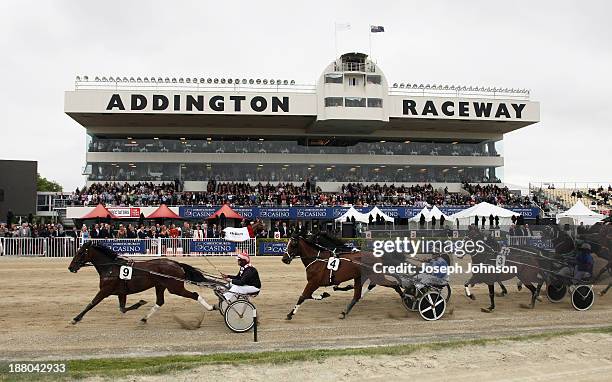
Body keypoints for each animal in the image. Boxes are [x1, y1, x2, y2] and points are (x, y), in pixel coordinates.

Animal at [68, 240, 224, 324]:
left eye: (80, 252)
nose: (70, 268)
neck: (111, 268)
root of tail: (175, 263)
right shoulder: (121, 292)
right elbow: (122, 308)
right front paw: (140, 303)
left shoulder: (105, 290)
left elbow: (91, 303)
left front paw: (75, 318)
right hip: (160, 286)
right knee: (160, 302)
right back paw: (144, 318)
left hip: (175, 287)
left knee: (195, 294)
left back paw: (210, 307)